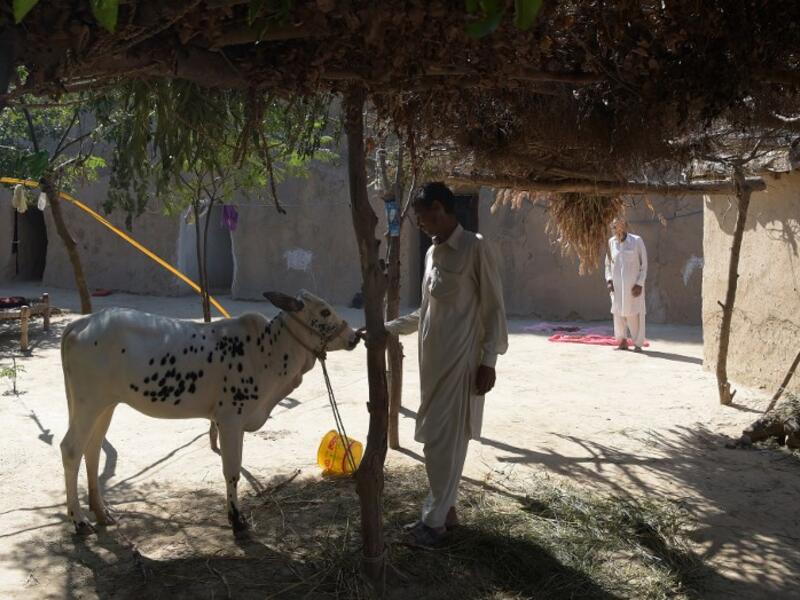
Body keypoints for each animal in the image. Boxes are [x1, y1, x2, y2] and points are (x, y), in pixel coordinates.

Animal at [59, 290, 359, 534]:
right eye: (324, 311)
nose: (355, 336)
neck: (267, 349)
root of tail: (79, 323)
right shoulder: (229, 420)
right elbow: (232, 471)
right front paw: (236, 520)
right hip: (89, 403)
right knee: (71, 449)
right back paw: (79, 521)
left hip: (105, 405)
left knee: (92, 450)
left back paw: (101, 512)